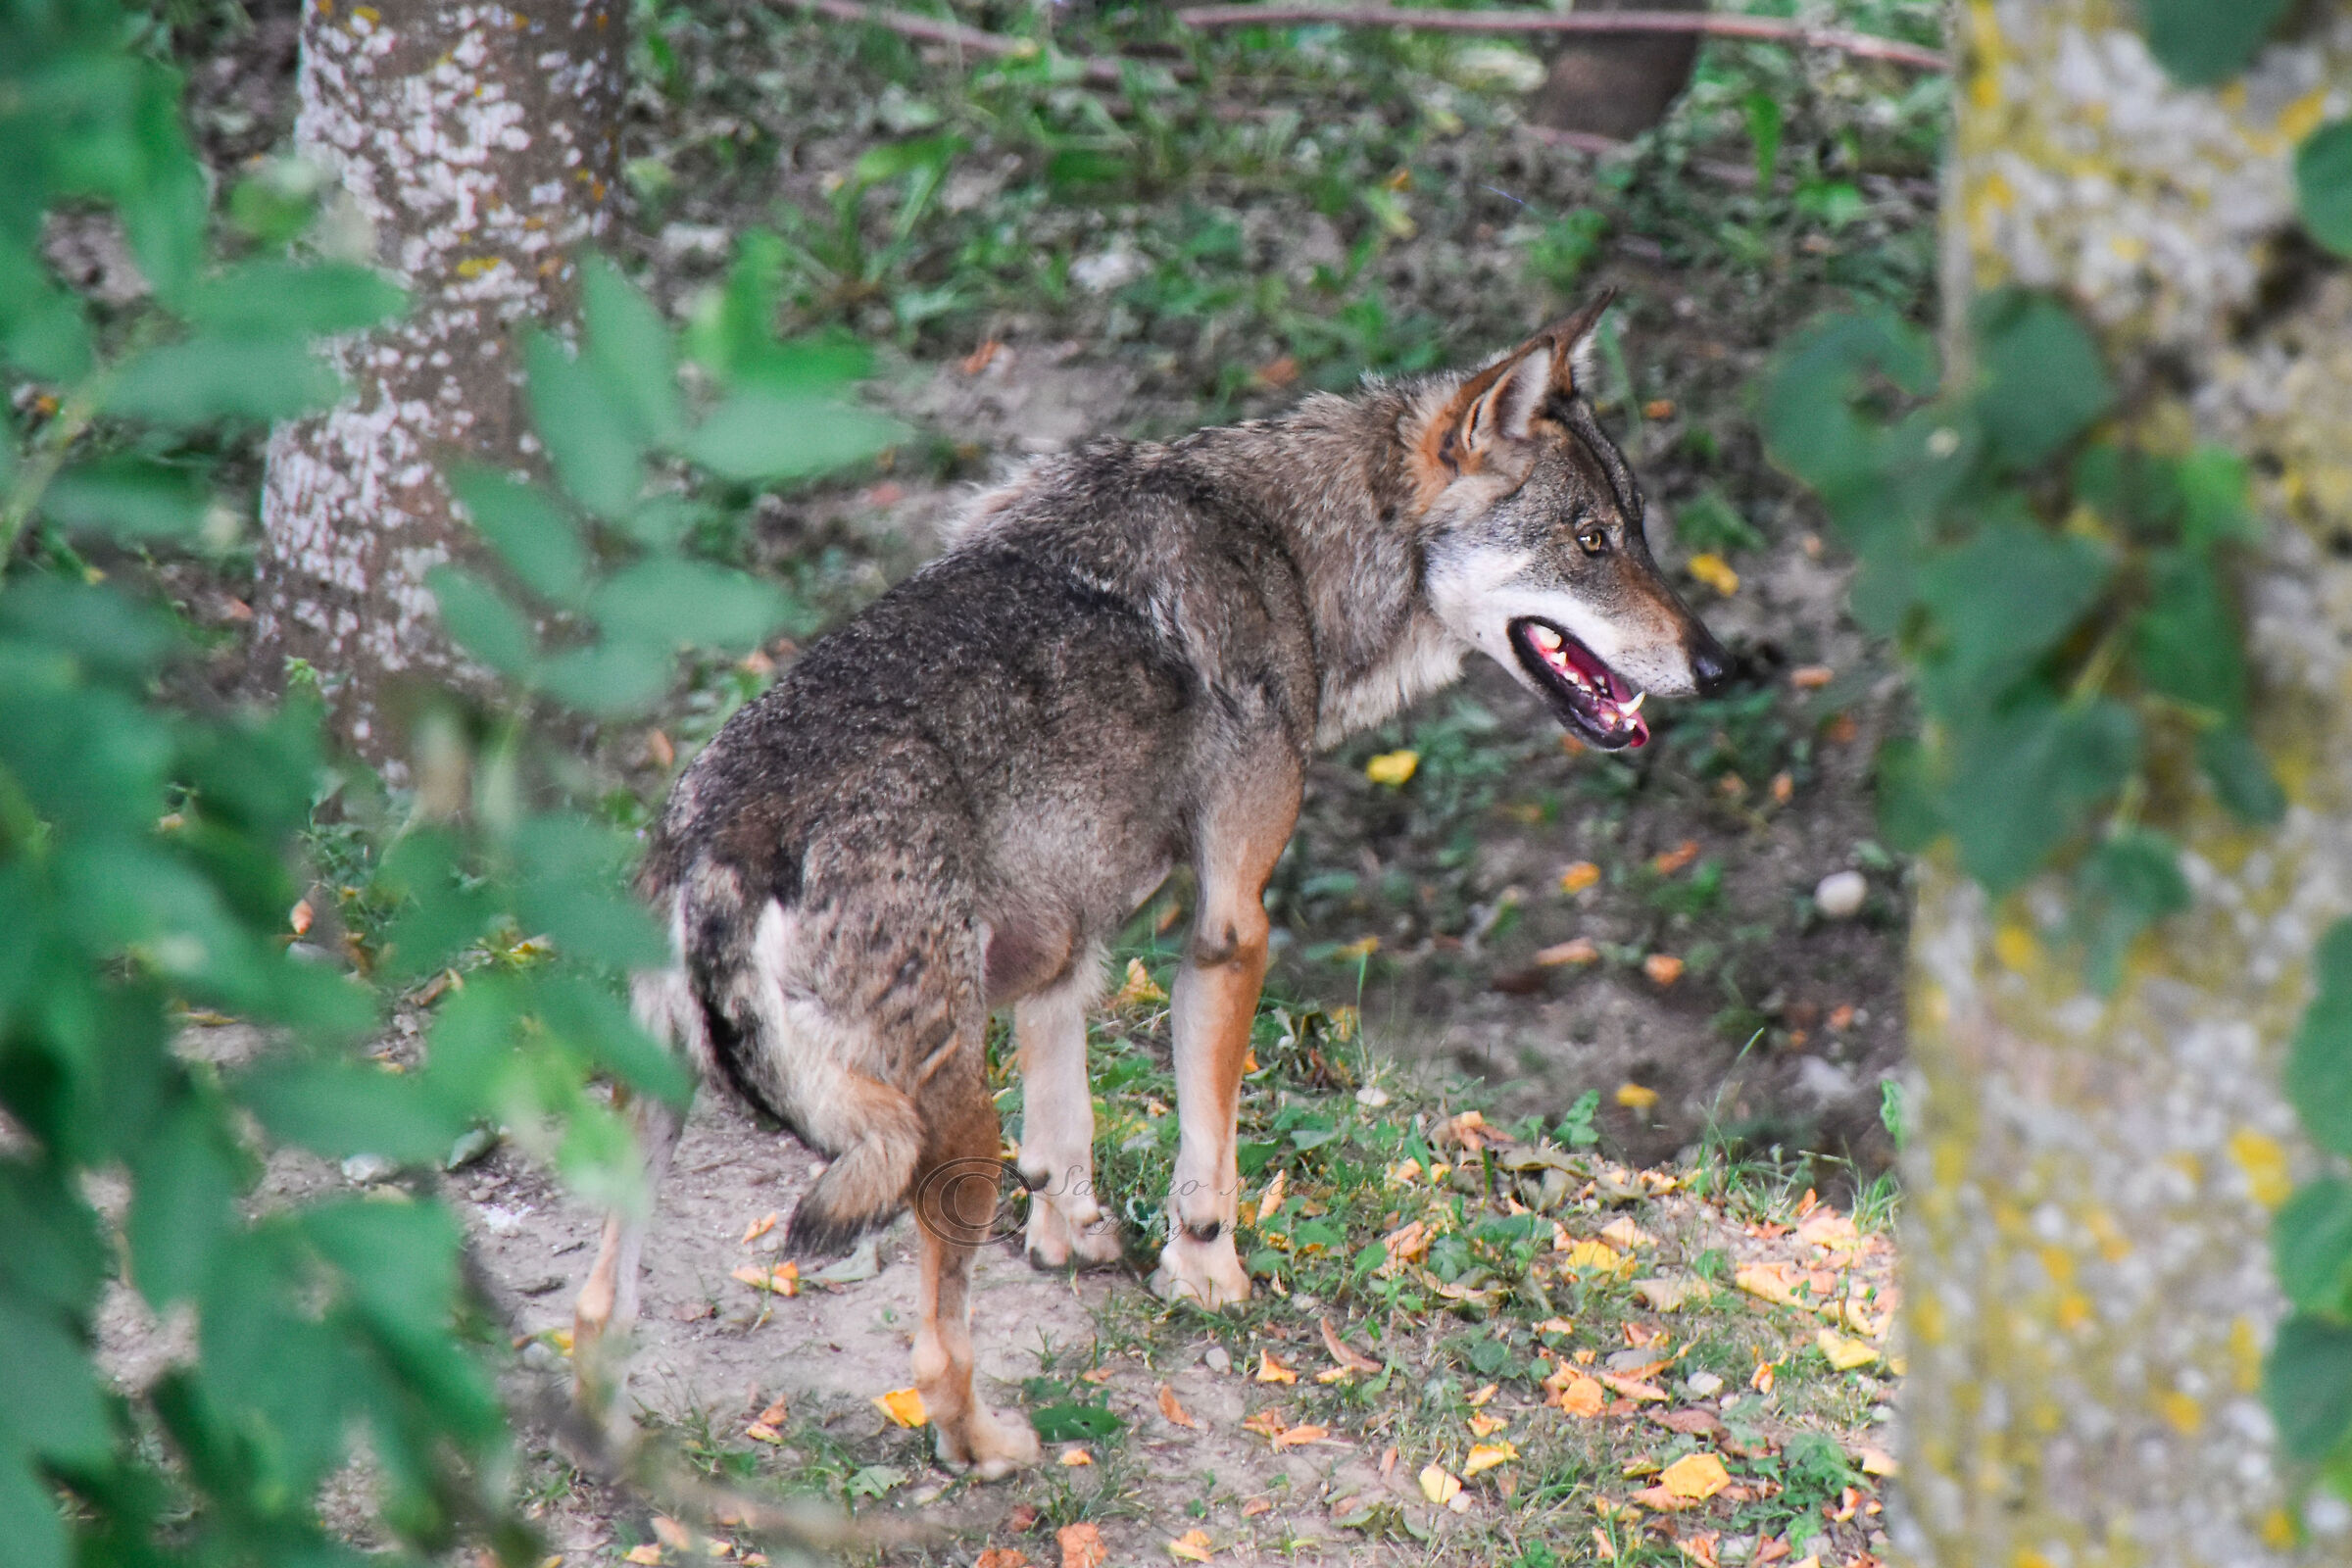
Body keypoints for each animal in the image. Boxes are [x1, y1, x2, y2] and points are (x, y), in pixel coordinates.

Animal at [570, 294, 1730, 1476]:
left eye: (1635, 533)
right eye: (1590, 542)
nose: (1719, 666)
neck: (1292, 555)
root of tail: (723, 843)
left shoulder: (1064, 938)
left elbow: (1063, 1129)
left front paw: (1070, 1240)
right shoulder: (1230, 928)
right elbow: (1208, 1156)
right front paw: (1207, 1275)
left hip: (658, 1111)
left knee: (593, 1310)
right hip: (945, 1127)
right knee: (933, 1354)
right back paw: (995, 1446)